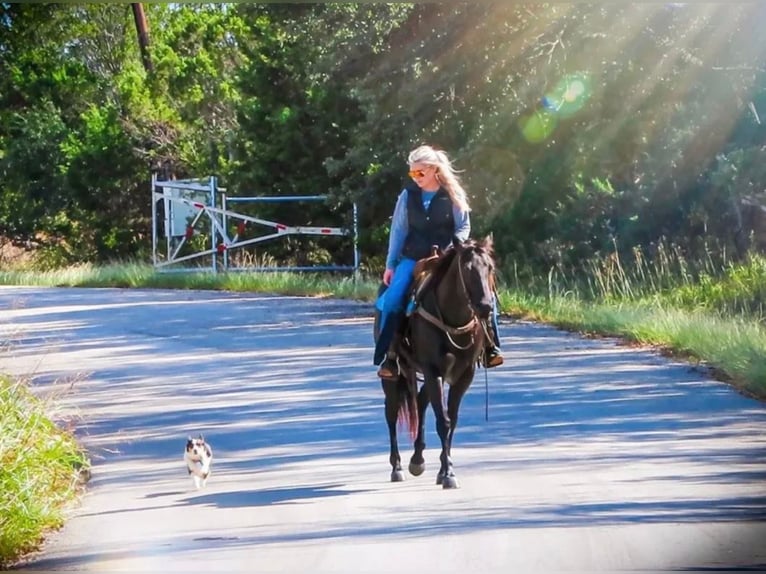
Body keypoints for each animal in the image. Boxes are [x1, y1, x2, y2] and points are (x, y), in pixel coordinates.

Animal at [376, 234, 498, 490]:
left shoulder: (464, 375)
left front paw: (444, 470)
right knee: (391, 413)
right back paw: (397, 467)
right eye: (466, 269)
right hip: (394, 378)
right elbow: (443, 421)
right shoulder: (434, 371)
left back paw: (417, 459)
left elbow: (451, 420)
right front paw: (448, 473)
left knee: (421, 402)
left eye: (490, 267)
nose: (485, 307)